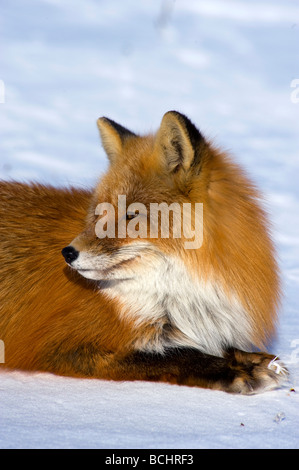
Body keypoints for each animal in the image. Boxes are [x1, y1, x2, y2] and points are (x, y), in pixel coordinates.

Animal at [0, 111, 290, 392]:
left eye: (131, 215)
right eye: (99, 213)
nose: (68, 253)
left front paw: (252, 358)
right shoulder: (61, 347)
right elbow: (173, 356)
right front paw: (229, 370)